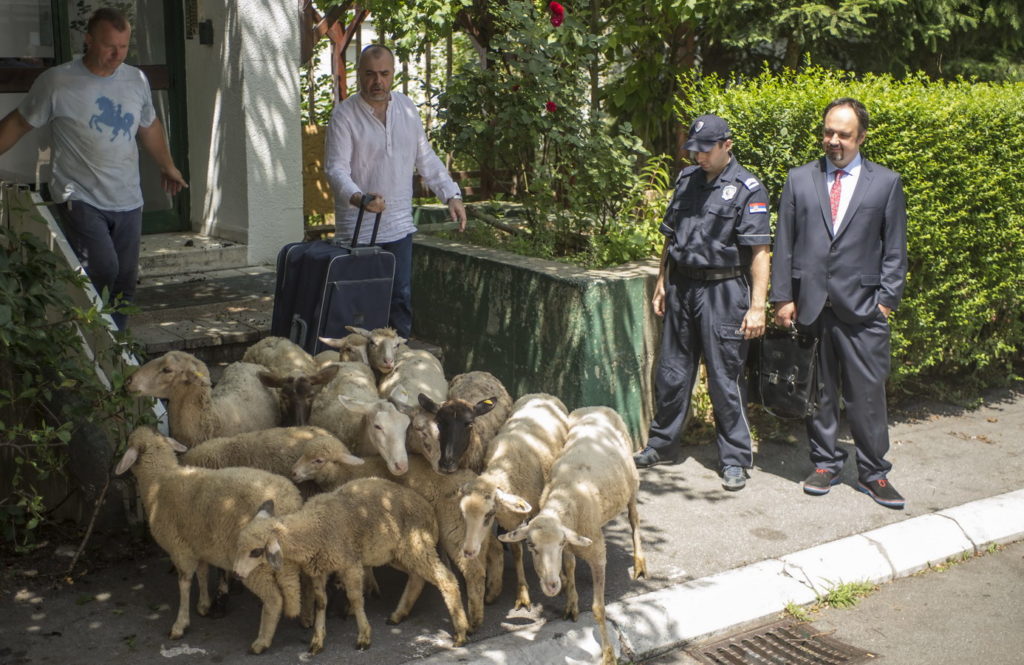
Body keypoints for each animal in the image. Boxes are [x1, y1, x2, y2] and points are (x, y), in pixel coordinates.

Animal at [114, 427, 306, 654]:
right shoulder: (199, 544)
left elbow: (184, 583)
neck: (158, 482)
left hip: (252, 563)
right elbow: (203, 573)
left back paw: (262, 642)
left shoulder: (180, 548)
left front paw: (180, 624)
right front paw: (204, 605)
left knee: (274, 599)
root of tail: (289, 503)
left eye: (129, 443)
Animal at [233, 478, 469, 653]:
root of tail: (431, 512)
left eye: (256, 551)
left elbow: (355, 598)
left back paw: (461, 632)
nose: (235, 575)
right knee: (417, 577)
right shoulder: (318, 569)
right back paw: (398, 614)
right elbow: (320, 602)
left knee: (446, 579)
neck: (314, 525)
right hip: (396, 554)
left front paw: (364, 636)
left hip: (417, 545)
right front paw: (317, 641)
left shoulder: (350, 563)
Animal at [291, 442, 501, 631]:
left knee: (474, 571)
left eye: (318, 460)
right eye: (303, 454)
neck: (346, 473)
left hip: (455, 529)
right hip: (478, 531)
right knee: (494, 548)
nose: (293, 473)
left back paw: (474, 620)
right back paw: (491, 593)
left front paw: (358, 597)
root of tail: (478, 481)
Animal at [460, 393, 569, 610]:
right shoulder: (511, 521)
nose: (468, 552)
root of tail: (541, 393)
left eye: (488, 515)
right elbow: (517, 552)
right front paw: (523, 591)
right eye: (463, 514)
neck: (503, 470)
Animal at [498, 406, 647, 665]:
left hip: (632, 485)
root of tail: (596, 407)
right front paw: (571, 604)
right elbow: (569, 568)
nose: (551, 585)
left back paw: (639, 562)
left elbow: (598, 608)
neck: (563, 499)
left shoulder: (596, 554)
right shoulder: (571, 547)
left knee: (634, 520)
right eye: (530, 545)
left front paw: (608, 653)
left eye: (558, 543)